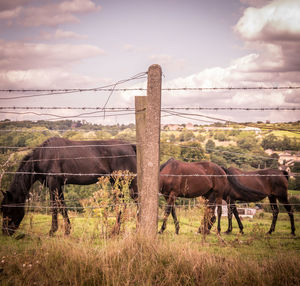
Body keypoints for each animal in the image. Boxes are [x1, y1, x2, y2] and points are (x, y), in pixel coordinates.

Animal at [0, 137, 137, 236]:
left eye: (8, 210)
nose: (6, 232)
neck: (43, 156)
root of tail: (130, 146)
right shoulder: (59, 186)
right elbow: (62, 206)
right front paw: (67, 230)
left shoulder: (53, 183)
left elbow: (55, 206)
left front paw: (52, 231)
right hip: (116, 182)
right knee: (124, 203)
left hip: (125, 181)